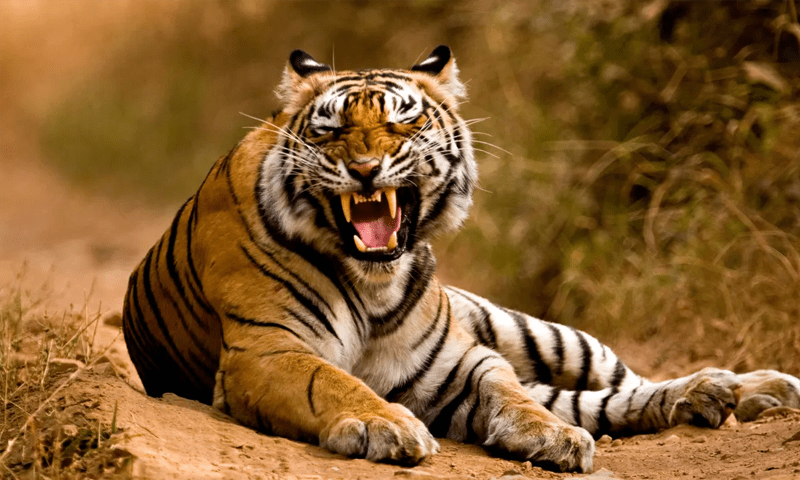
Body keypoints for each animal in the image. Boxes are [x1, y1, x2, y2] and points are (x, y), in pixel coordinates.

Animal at [122, 46, 800, 473]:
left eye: (403, 122)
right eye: (329, 130)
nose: (363, 168)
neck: (374, 283)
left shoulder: (458, 360)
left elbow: (510, 392)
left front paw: (550, 436)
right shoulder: (265, 350)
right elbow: (332, 379)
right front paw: (388, 425)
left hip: (538, 332)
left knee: (619, 383)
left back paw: (749, 389)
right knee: (601, 400)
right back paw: (721, 398)